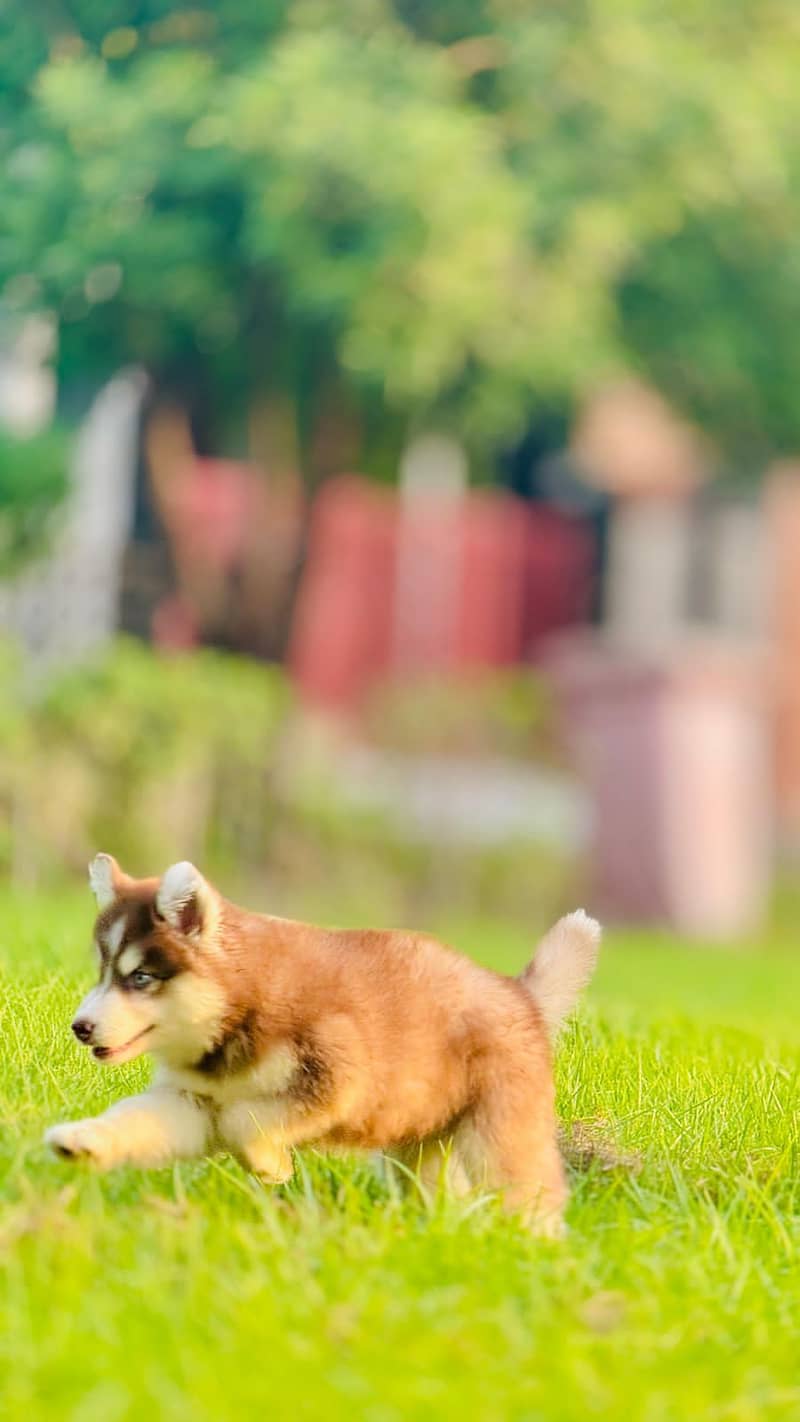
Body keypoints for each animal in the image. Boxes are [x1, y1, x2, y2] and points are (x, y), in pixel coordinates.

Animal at [45, 853, 602, 1234]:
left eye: (140, 977)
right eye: (102, 973)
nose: (81, 1026)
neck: (231, 1015)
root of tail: (519, 993)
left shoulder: (336, 1075)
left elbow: (243, 1120)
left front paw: (269, 1165)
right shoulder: (188, 1099)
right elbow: (137, 1120)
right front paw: (83, 1140)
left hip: (500, 1133)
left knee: (531, 1190)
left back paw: (533, 1247)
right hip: (419, 1138)